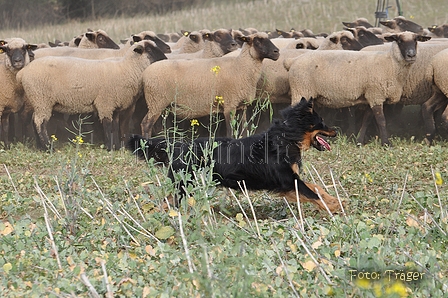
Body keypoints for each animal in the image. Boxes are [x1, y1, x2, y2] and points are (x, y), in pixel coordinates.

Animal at [16, 40, 168, 150]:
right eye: (149, 50)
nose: (165, 59)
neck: (127, 69)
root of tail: (22, 73)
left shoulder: (114, 106)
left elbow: (114, 126)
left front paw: (117, 146)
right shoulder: (105, 103)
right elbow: (107, 125)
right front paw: (110, 147)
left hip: (38, 101)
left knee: (34, 120)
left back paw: (40, 147)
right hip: (42, 99)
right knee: (40, 122)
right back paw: (48, 147)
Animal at [128, 99, 342, 213]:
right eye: (322, 121)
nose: (336, 130)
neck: (287, 137)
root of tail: (179, 146)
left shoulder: (290, 182)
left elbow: (316, 187)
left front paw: (332, 200)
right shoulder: (288, 181)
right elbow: (312, 192)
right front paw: (333, 206)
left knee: (167, 200)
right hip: (185, 185)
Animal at [140, 32, 280, 139]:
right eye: (257, 42)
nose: (277, 52)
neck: (240, 67)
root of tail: (145, 74)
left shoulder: (241, 106)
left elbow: (243, 131)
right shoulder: (229, 105)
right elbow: (230, 131)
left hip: (161, 104)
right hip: (156, 102)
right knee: (146, 124)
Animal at [288, 31, 430, 146]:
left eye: (416, 40)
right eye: (399, 40)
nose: (411, 55)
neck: (390, 63)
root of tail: (292, 61)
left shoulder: (370, 96)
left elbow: (366, 120)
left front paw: (359, 141)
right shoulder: (376, 94)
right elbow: (381, 120)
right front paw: (386, 143)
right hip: (301, 90)